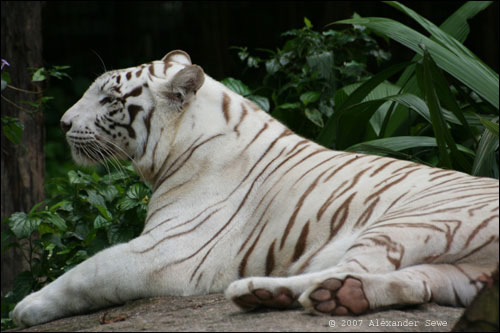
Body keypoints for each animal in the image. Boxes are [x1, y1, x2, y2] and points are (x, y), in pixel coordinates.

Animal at [13, 50, 498, 326]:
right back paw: (290, 295)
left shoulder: (170, 251)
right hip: (461, 275)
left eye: (110, 99)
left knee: (355, 266)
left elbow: (85, 274)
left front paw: (26, 308)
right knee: (414, 285)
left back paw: (280, 291)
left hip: (414, 219)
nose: (63, 124)